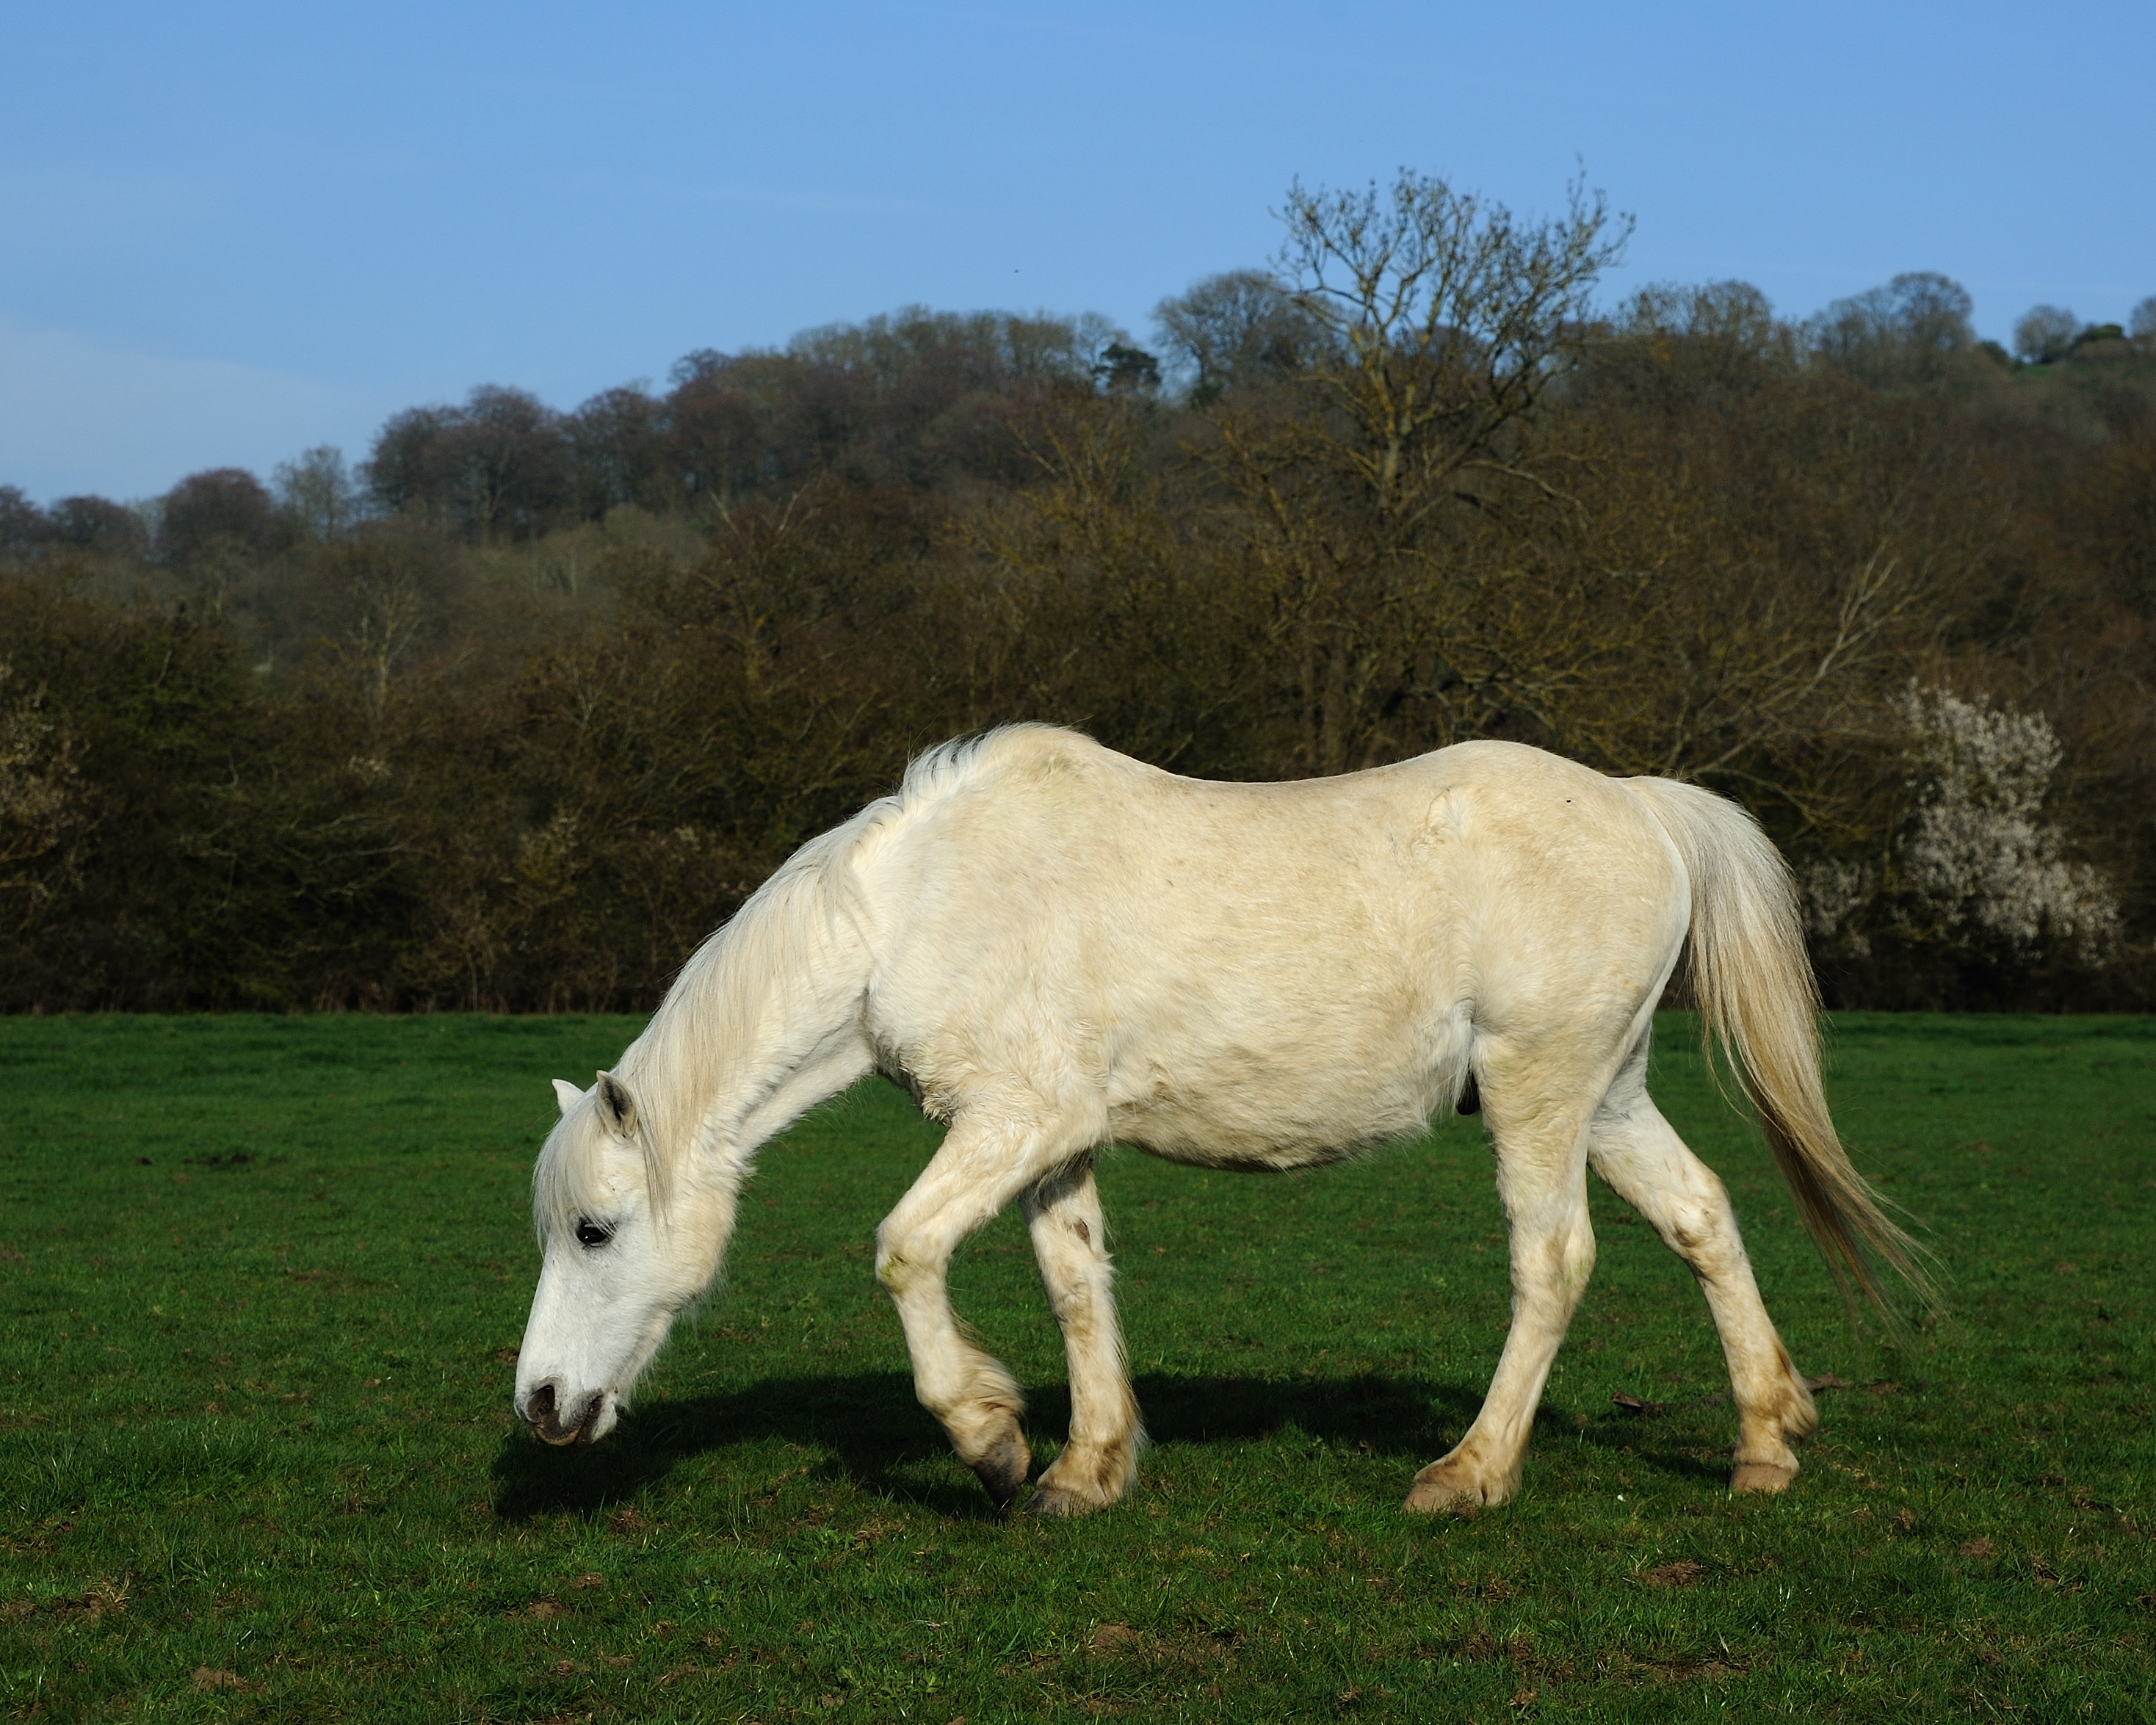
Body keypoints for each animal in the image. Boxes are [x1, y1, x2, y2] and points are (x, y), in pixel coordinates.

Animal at [508, 720, 1922, 1518]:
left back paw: (1468, 1472)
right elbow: (1076, 1284)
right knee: (1702, 1218)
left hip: (1537, 1089)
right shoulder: (1057, 1139)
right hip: (1606, 1091)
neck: (912, 905)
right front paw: (1085, 1467)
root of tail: (1642, 803)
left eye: (593, 1229)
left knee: (1553, 1261)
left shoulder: (1009, 1120)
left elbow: (905, 1250)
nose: (541, 1405)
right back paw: (1764, 1441)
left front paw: (990, 1442)